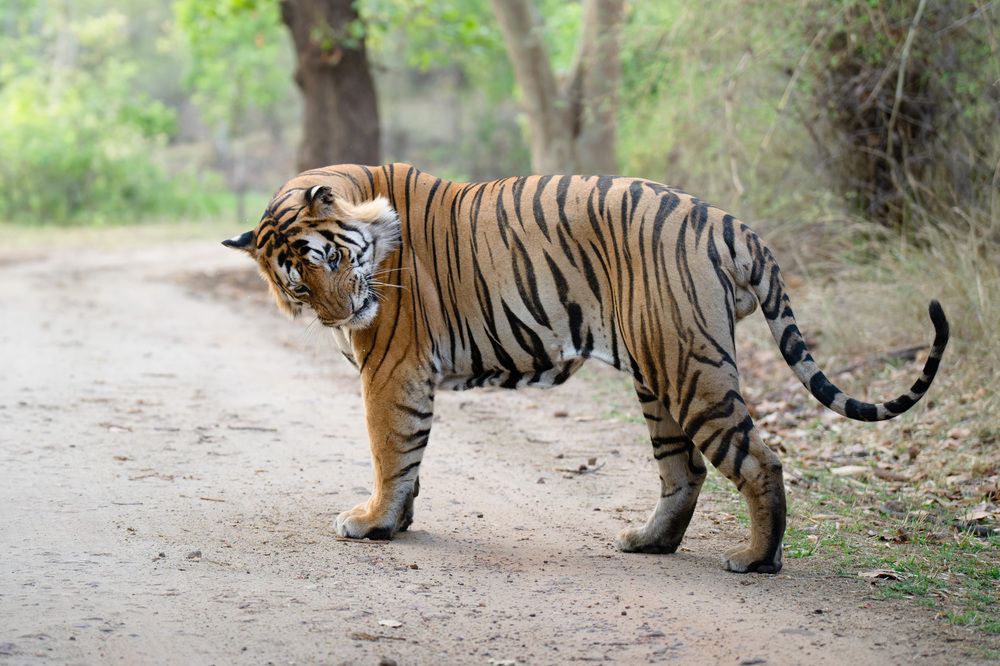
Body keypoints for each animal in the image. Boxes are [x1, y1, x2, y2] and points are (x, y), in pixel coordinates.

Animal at [222, 163, 948, 574]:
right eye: (298, 286)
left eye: (333, 260)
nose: (341, 315)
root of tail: (727, 221)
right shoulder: (404, 375)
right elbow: (409, 459)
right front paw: (394, 524)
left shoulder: (391, 371)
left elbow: (389, 451)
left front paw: (372, 523)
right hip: (658, 375)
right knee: (684, 471)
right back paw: (649, 543)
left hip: (691, 369)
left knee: (758, 460)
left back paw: (755, 561)